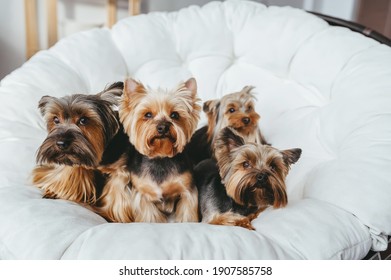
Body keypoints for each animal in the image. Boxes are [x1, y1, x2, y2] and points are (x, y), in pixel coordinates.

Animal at [97, 77, 202, 223]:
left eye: (175, 115)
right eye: (148, 114)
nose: (163, 127)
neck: (160, 158)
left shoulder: (187, 191)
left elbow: (187, 213)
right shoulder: (142, 194)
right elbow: (149, 216)